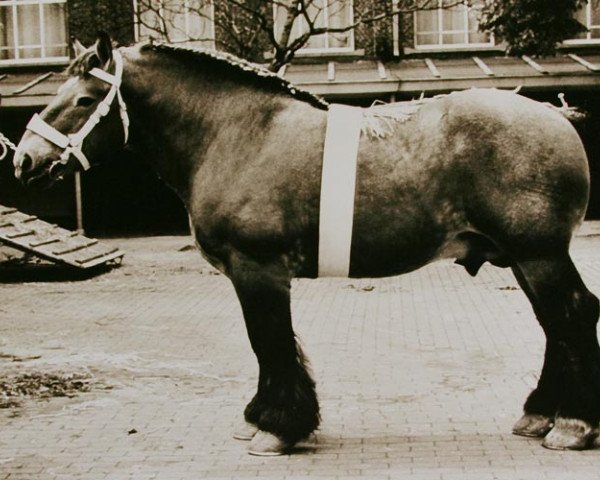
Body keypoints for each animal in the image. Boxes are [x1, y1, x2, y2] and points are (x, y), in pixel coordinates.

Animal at [12, 33, 600, 454]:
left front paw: (276, 427)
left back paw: (572, 425)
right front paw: (265, 420)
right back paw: (541, 414)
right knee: (556, 324)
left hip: (539, 255)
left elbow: (269, 340)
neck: (238, 133)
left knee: (572, 316)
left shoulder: (258, 268)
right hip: (523, 259)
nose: (24, 160)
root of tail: (555, 115)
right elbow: (271, 344)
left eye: (84, 98)